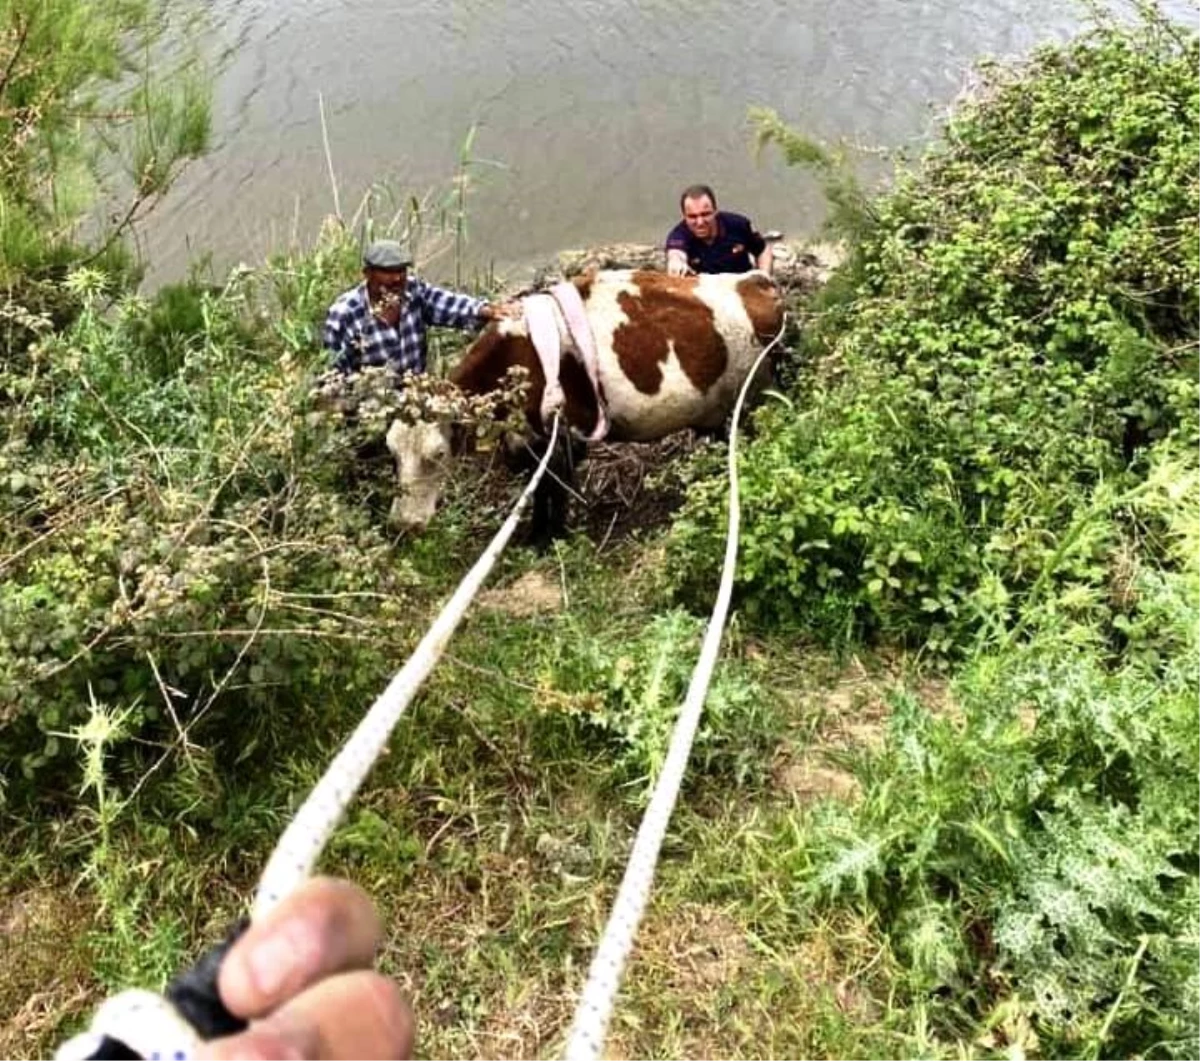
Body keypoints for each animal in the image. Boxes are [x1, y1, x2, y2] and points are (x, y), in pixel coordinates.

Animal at [386, 268, 787, 542]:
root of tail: (756, 282)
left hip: (756, 396)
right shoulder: (532, 439)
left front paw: (551, 539)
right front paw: (537, 537)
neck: (523, 355)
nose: (405, 524)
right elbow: (539, 487)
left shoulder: (566, 433)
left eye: (438, 454)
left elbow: (554, 488)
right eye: (392, 453)